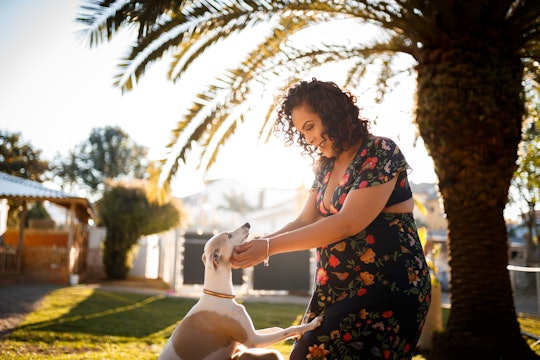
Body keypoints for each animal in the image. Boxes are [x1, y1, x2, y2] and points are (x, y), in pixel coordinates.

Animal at [158, 222, 322, 360]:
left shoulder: (252, 333)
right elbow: (287, 329)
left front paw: (297, 334)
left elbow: (278, 328)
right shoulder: (254, 340)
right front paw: (312, 323)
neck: (219, 296)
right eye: (228, 235)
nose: (247, 223)